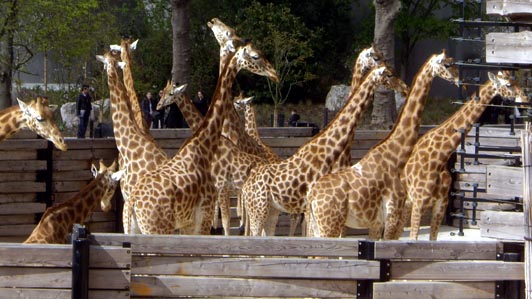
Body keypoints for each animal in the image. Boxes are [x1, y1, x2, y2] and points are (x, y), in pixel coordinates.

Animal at [127, 42, 280, 236]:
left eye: (170, 93)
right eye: (255, 56)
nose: (274, 74)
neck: (203, 147)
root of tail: (132, 203)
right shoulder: (210, 202)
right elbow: (224, 221)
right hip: (155, 228)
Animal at [241, 65, 408, 237]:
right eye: (390, 75)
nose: (404, 88)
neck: (327, 152)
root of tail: (246, 186)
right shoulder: (310, 205)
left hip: (271, 210)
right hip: (258, 209)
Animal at [308, 50, 462, 240]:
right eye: (447, 64)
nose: (458, 80)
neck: (396, 157)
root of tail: (312, 196)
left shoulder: (377, 222)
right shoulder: (392, 215)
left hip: (317, 225)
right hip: (329, 226)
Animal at [404, 71, 528, 241]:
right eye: (508, 84)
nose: (525, 99)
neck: (439, 157)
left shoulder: (440, 204)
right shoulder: (419, 202)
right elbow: (413, 240)